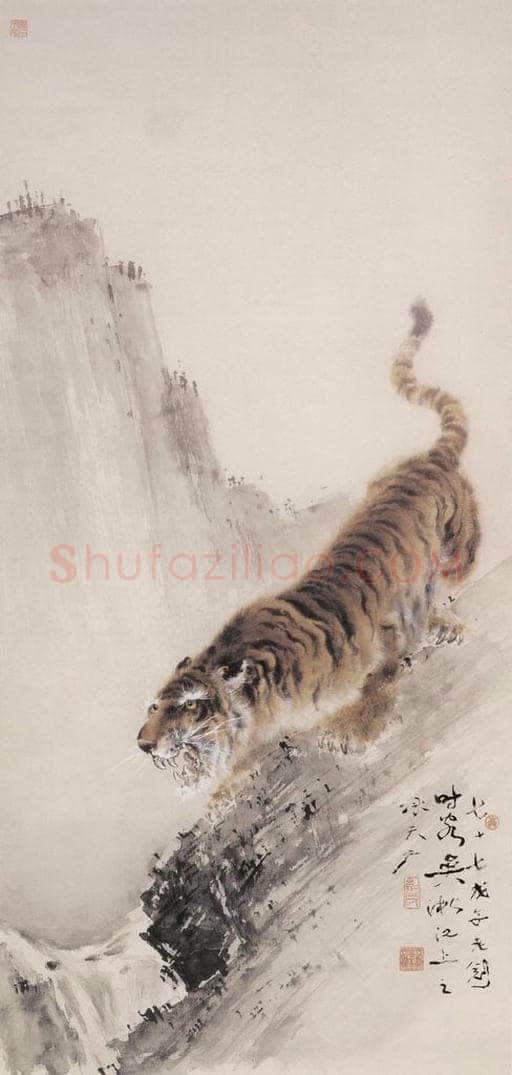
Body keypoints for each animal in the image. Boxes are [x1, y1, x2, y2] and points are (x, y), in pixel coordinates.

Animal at [137, 301, 480, 802]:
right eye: (153, 707)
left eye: (186, 706)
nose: (143, 744)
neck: (261, 703)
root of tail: (426, 459)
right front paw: (222, 794)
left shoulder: (382, 638)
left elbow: (380, 681)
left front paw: (351, 730)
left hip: (460, 552)